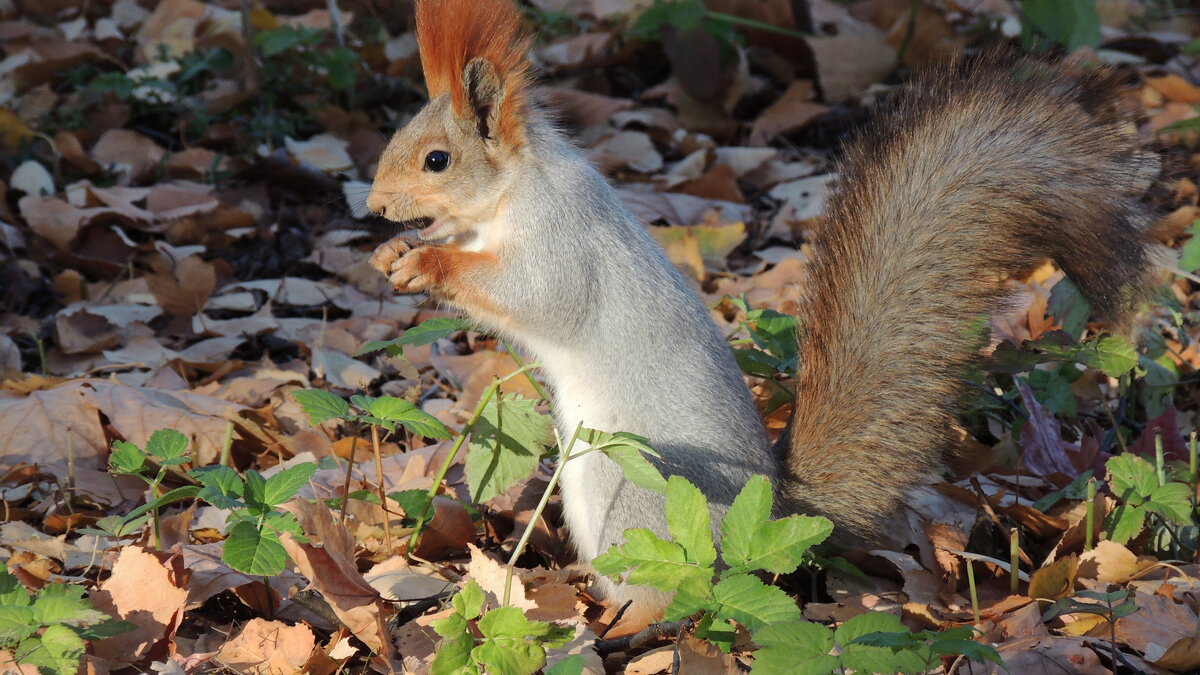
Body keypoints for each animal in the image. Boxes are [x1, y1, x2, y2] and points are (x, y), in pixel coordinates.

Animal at [362, 0, 1152, 619]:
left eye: (436, 160)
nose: (373, 208)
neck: (507, 197)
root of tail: (773, 511)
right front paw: (394, 255)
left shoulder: (560, 239)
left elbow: (538, 296)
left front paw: (427, 262)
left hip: (633, 487)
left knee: (677, 593)